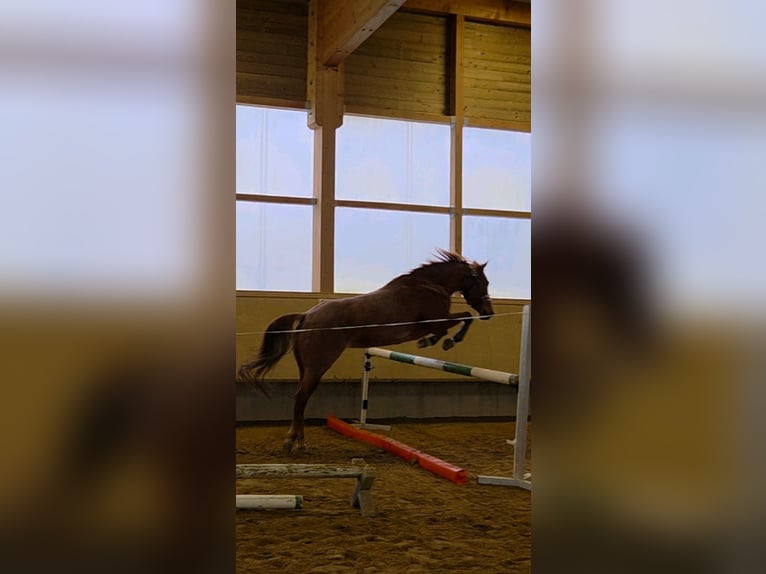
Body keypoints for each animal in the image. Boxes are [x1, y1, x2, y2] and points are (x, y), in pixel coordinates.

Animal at [237, 249, 495, 453]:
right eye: (483, 282)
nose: (488, 313)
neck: (430, 286)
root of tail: (307, 316)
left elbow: (459, 320)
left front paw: (436, 341)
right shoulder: (432, 322)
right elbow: (463, 318)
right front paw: (445, 341)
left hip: (306, 367)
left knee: (301, 398)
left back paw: (300, 441)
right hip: (319, 365)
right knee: (301, 397)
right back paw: (293, 442)